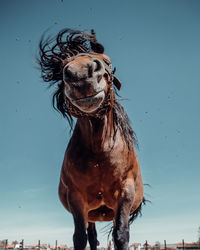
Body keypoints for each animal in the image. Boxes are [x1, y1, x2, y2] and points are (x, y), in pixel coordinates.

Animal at [38, 28, 144, 249]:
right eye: (64, 64)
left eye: (108, 61)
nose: (80, 74)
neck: (100, 151)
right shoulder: (76, 198)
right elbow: (79, 237)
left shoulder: (125, 192)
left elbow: (121, 235)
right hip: (91, 214)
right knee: (92, 237)